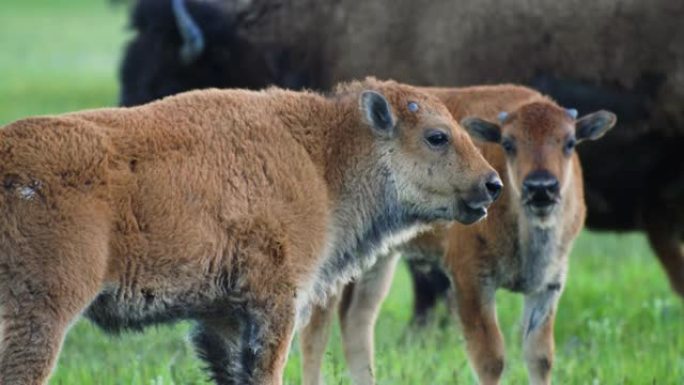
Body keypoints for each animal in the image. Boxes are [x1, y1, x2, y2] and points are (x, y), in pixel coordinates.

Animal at [0, 79, 502, 384]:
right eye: (437, 136)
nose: (493, 184)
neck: (321, 160)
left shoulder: (220, 317)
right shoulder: (274, 303)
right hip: (41, 314)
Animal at [300, 85, 616, 384]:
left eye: (570, 143)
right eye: (509, 144)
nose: (541, 187)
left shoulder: (548, 287)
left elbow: (540, 357)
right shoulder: (471, 280)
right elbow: (491, 358)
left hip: (379, 258)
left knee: (357, 320)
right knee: (316, 331)